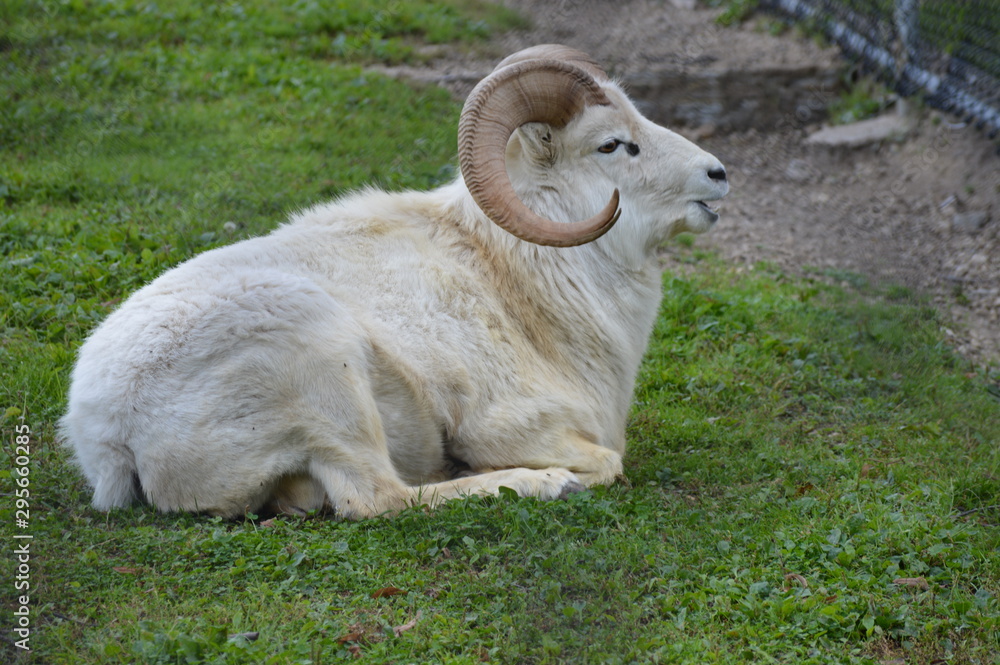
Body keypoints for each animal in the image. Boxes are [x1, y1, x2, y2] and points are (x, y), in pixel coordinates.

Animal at [60, 45, 728, 520]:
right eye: (612, 145)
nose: (717, 175)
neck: (519, 282)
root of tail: (110, 435)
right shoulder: (511, 423)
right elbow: (609, 463)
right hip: (325, 373)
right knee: (377, 499)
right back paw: (539, 485)